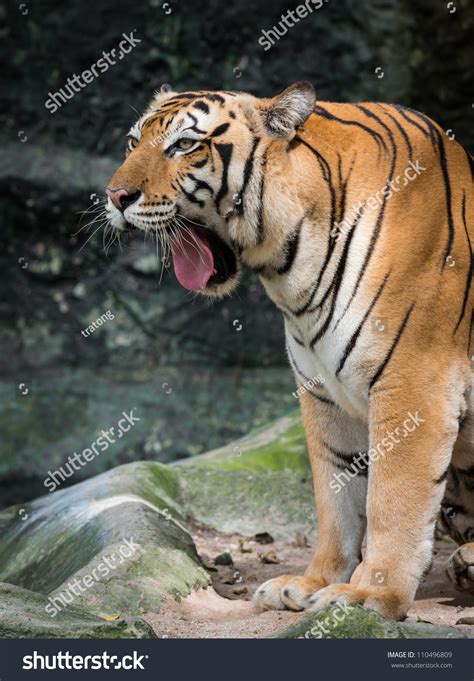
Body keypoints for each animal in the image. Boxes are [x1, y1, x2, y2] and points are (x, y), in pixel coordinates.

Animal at [104, 81, 474, 620]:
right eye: (133, 142)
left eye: (184, 145)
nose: (114, 196)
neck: (291, 262)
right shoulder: (323, 392)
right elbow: (336, 496)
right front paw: (312, 582)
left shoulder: (413, 386)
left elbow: (393, 501)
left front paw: (371, 594)